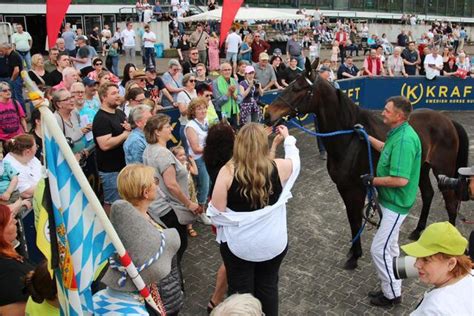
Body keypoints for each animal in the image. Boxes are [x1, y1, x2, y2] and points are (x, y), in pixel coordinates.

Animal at [264, 63, 468, 270]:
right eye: (289, 83)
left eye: (298, 88)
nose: (267, 113)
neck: (349, 139)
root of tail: (447, 121)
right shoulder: (344, 188)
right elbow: (352, 219)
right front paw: (354, 252)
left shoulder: (356, 188)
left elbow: (355, 219)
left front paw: (354, 256)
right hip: (422, 169)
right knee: (428, 194)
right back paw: (418, 230)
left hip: (442, 171)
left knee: (451, 203)